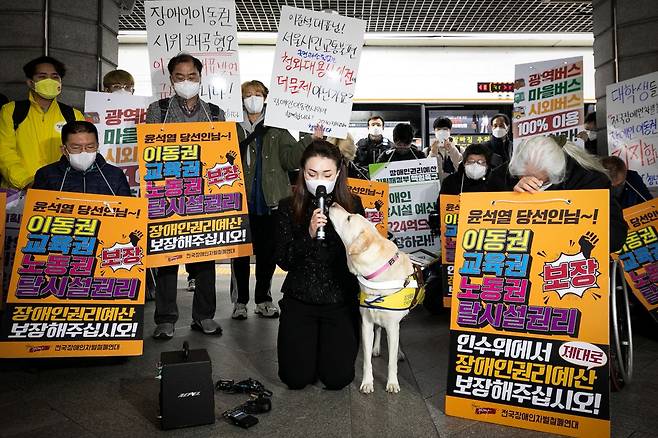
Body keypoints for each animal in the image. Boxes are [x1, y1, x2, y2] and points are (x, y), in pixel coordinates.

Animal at [326, 204, 422, 394]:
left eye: (349, 218)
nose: (332, 204)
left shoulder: (392, 326)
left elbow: (391, 361)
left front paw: (392, 383)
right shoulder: (366, 324)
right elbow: (366, 361)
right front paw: (367, 382)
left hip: (401, 319)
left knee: (397, 338)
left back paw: (399, 353)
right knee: (378, 330)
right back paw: (376, 348)